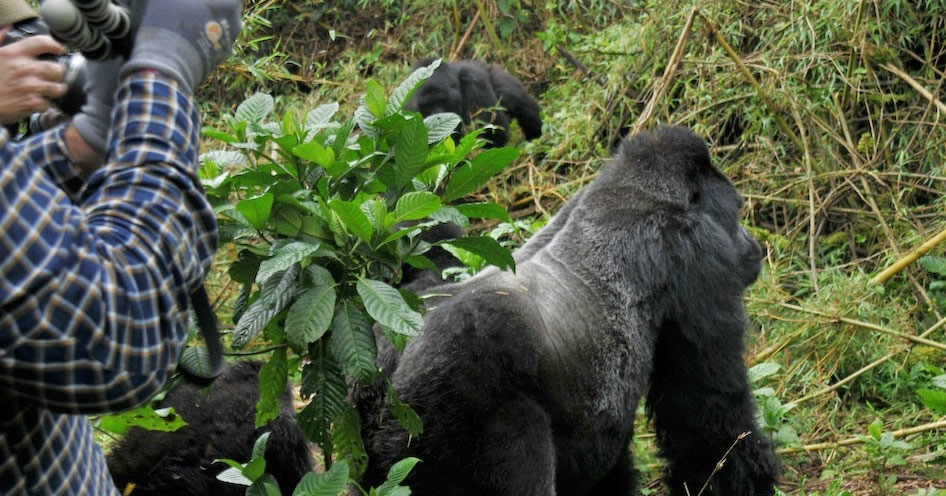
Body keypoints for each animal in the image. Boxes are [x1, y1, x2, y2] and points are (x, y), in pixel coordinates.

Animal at [358, 126, 780, 494]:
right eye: (737, 211)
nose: (752, 245)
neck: (636, 191)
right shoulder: (699, 258)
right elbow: (709, 416)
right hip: (460, 387)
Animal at [402, 58, 544, 146]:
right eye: (428, 106)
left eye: (442, 101)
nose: (437, 117)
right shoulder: (408, 112)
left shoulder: (473, 79)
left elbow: (491, 129)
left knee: (519, 102)